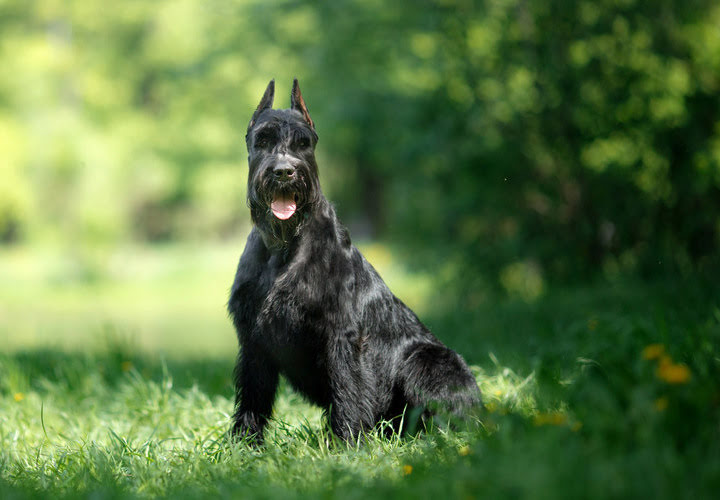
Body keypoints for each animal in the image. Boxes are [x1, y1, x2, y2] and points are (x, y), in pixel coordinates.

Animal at [228, 78, 480, 442]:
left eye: (303, 142)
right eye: (262, 139)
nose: (284, 172)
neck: (282, 248)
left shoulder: (342, 334)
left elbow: (348, 389)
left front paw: (348, 443)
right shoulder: (253, 342)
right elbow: (252, 397)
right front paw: (244, 445)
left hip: (426, 362)